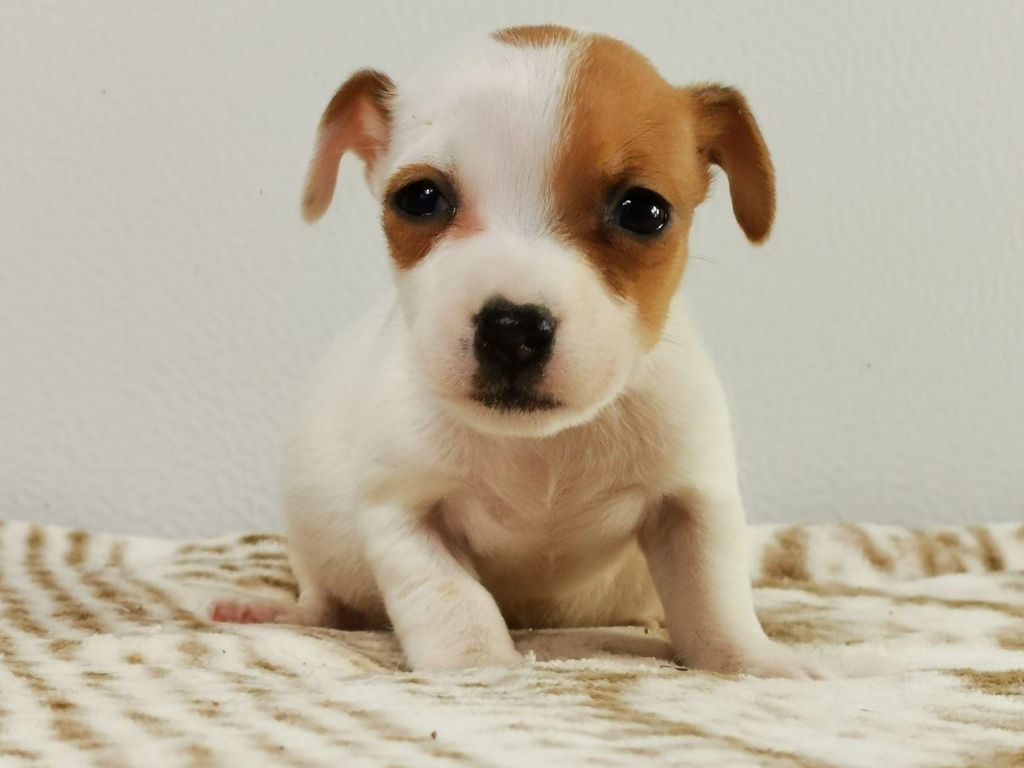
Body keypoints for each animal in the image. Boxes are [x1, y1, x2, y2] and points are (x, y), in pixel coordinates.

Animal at [211, 24, 827, 679]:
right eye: (419, 198)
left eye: (643, 210)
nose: (512, 329)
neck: (541, 449)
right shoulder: (406, 514)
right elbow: (453, 600)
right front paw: (479, 666)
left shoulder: (691, 506)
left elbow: (713, 599)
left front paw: (751, 662)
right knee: (326, 602)